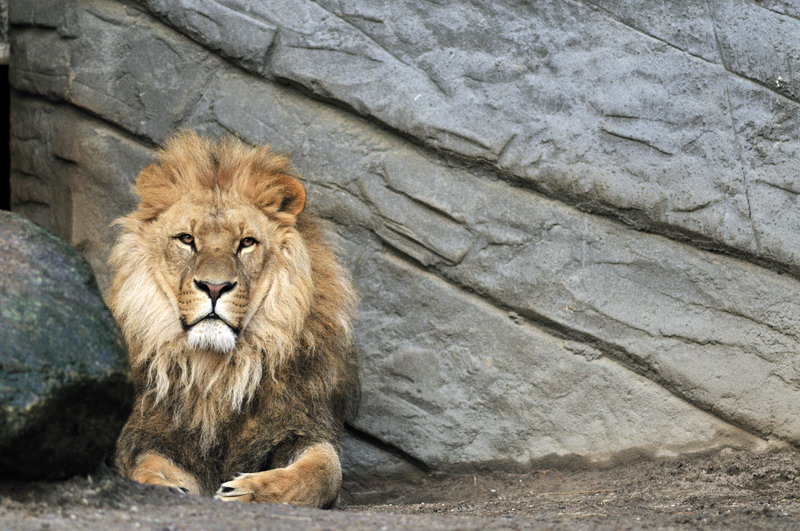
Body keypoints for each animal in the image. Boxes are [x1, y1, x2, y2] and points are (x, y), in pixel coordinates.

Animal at [108, 131, 358, 508]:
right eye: (187, 240)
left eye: (246, 243)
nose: (214, 286)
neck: (218, 371)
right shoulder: (146, 433)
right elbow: (144, 466)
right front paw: (166, 488)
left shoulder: (301, 426)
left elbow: (325, 469)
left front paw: (248, 491)